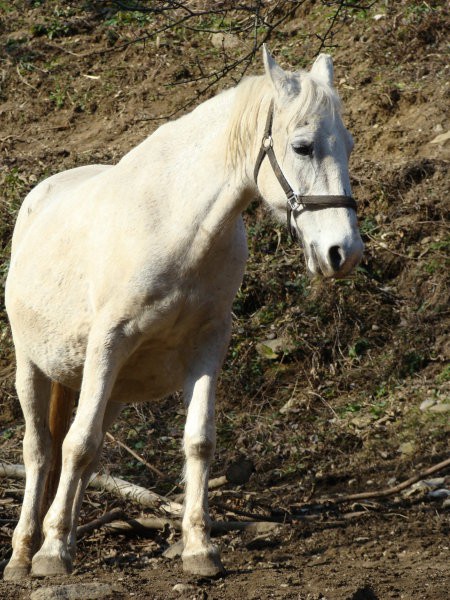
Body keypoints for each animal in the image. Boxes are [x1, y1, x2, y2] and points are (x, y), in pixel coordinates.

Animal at [2, 48, 362, 580]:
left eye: (349, 146)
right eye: (303, 147)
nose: (345, 252)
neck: (178, 225)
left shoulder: (207, 346)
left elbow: (197, 442)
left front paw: (199, 549)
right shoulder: (108, 341)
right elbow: (75, 445)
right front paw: (50, 554)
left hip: (108, 385)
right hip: (34, 367)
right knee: (41, 450)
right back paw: (26, 551)